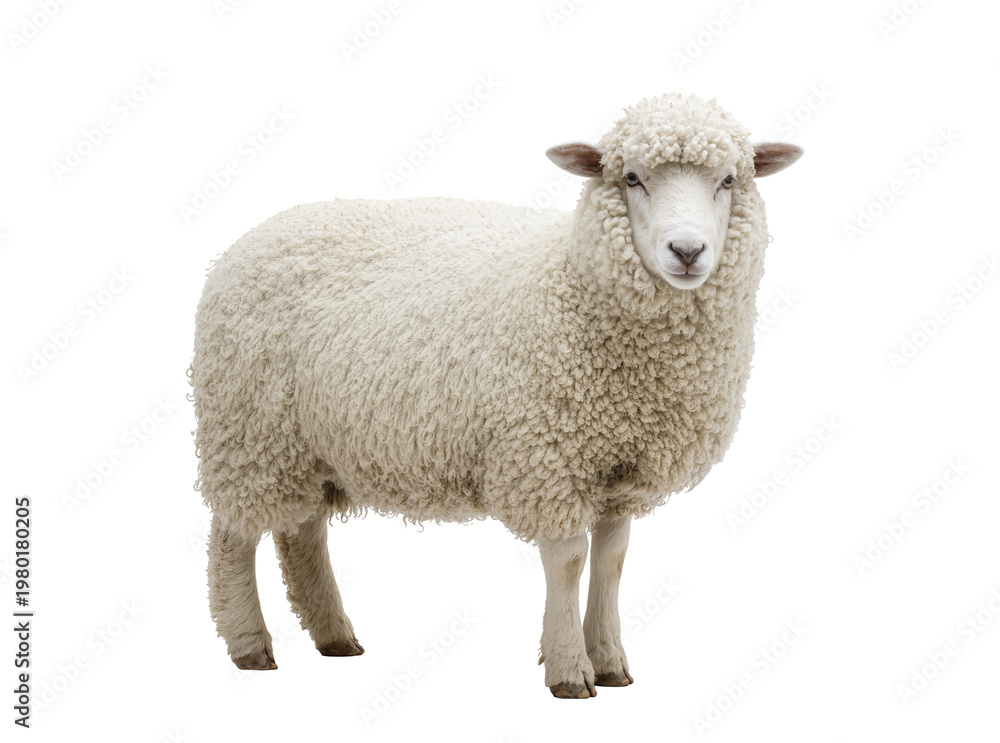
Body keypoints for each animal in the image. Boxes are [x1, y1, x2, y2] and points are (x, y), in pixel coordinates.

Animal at [191, 92, 802, 697]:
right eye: (631, 178)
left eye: (729, 179)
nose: (687, 250)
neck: (575, 286)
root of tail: (247, 240)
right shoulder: (548, 459)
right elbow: (569, 562)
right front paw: (569, 671)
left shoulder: (618, 472)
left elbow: (612, 562)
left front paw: (609, 662)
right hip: (247, 431)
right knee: (233, 536)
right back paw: (249, 644)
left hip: (308, 444)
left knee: (301, 532)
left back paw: (334, 634)